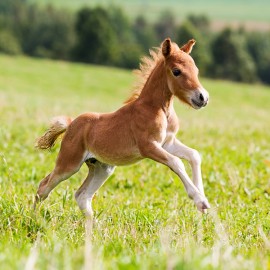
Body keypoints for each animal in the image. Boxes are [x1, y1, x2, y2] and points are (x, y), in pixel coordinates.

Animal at [34, 37, 211, 215]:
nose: (202, 98)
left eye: (196, 70)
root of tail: (71, 124)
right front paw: (200, 200)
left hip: (102, 168)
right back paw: (34, 218)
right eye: (176, 71)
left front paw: (201, 197)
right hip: (69, 164)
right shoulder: (148, 146)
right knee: (43, 187)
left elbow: (194, 155)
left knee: (82, 195)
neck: (159, 109)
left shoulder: (167, 143)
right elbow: (176, 162)